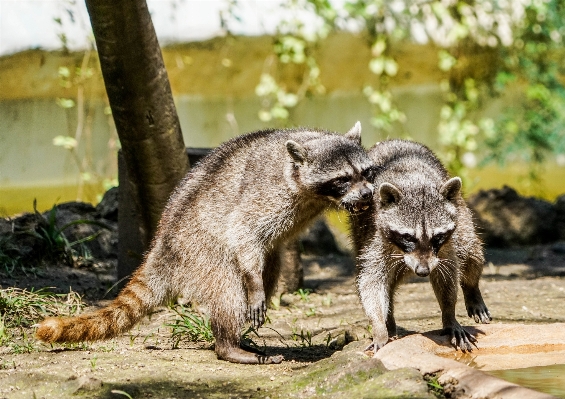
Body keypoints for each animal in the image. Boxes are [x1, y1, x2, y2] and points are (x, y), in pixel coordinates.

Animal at [37, 123, 376, 364]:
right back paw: (228, 344)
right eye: (342, 179)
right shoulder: (266, 193)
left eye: (367, 173)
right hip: (199, 251)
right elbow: (243, 230)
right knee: (229, 288)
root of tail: (162, 246)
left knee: (270, 266)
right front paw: (253, 289)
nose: (367, 194)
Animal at [350, 139, 492, 354]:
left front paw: (449, 314)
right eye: (408, 237)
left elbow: (447, 272)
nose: (423, 271)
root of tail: (396, 140)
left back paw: (472, 289)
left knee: (470, 250)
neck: (416, 185)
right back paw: (389, 322)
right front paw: (379, 326)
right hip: (358, 232)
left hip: (461, 212)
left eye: (437, 236)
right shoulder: (376, 234)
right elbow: (371, 280)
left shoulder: (445, 246)